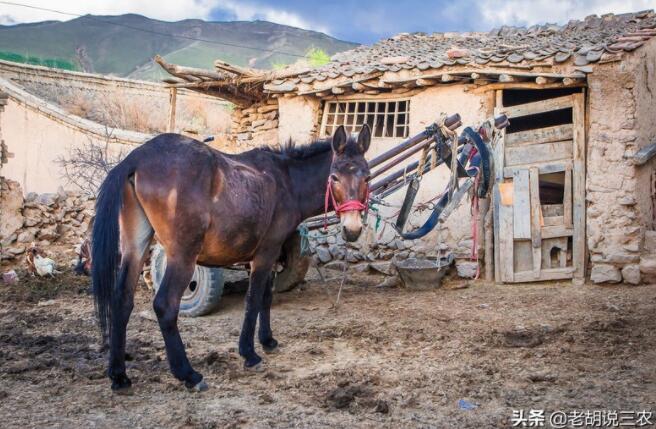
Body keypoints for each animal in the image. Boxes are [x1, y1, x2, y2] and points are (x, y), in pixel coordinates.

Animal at [92, 123, 372, 392]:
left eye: (367, 177)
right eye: (334, 177)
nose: (353, 229)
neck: (288, 181)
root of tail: (137, 157)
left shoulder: (265, 256)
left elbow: (266, 298)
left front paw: (267, 341)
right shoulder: (266, 253)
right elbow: (254, 299)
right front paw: (249, 353)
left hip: (135, 246)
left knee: (122, 300)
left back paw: (119, 376)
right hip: (183, 256)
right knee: (165, 305)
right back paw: (188, 375)